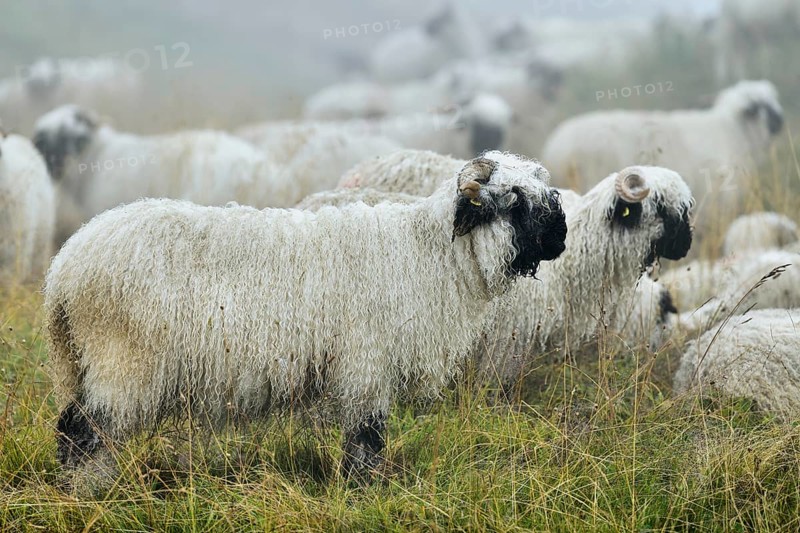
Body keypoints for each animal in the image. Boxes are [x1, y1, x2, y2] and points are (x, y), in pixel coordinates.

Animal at [45, 152, 568, 483]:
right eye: (514, 198)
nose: (561, 239)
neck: (430, 252)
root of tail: (64, 270)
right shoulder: (366, 367)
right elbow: (366, 441)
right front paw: (363, 493)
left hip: (92, 362)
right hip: (123, 361)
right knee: (82, 433)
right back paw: (87, 495)